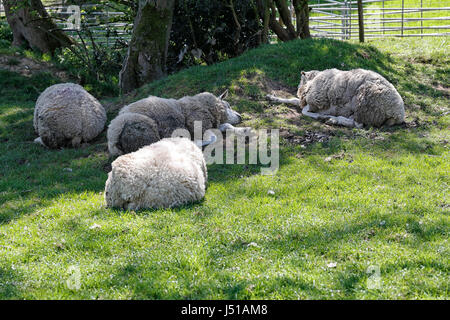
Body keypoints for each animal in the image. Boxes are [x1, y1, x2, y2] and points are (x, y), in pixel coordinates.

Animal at [107, 90, 246, 156]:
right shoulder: (198, 126)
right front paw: (195, 142)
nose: (240, 117)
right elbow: (213, 137)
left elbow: (227, 125)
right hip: (145, 129)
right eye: (228, 105)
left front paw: (243, 130)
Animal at [266, 68, 406, 128]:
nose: (298, 89)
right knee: (354, 122)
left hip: (365, 104)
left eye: (301, 80)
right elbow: (293, 101)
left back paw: (332, 120)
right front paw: (272, 97)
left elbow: (304, 111)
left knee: (358, 124)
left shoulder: (318, 101)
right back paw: (333, 119)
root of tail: (398, 114)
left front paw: (319, 116)